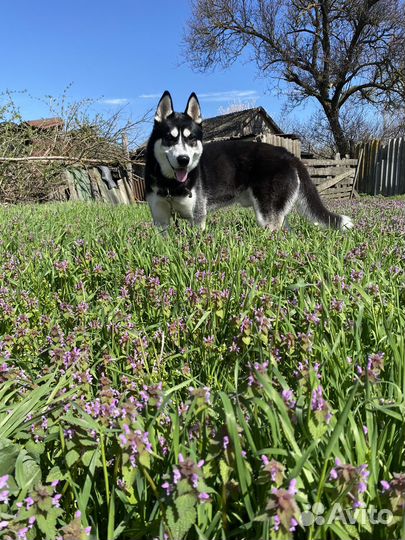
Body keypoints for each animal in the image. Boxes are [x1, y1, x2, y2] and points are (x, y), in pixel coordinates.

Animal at [144, 90, 352, 232]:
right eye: (169, 138)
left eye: (191, 138)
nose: (183, 160)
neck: (170, 185)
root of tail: (288, 154)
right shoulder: (160, 220)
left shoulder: (197, 219)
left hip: (267, 215)